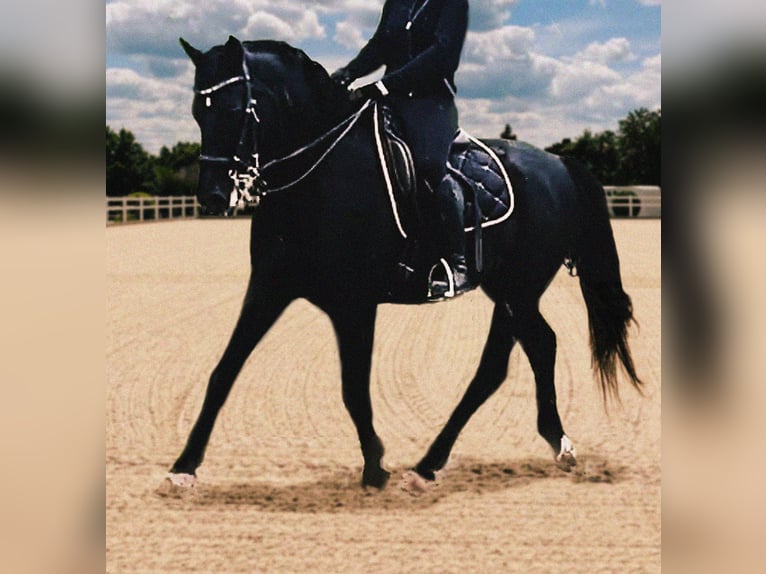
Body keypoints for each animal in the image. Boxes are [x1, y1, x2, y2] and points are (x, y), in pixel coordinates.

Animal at [165, 35, 642, 490]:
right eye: (197, 112)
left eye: (233, 109)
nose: (212, 196)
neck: (319, 174)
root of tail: (558, 164)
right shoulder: (269, 287)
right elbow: (223, 372)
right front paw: (182, 467)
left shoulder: (353, 304)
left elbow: (353, 389)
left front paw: (375, 468)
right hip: (509, 290)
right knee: (528, 351)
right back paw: (531, 447)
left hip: (518, 288)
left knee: (511, 359)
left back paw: (438, 463)